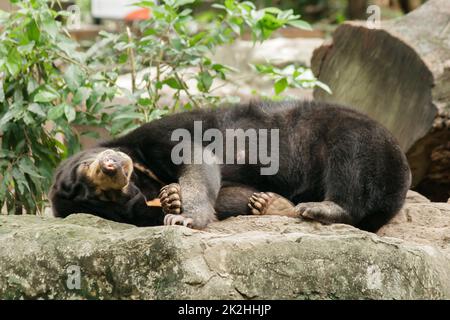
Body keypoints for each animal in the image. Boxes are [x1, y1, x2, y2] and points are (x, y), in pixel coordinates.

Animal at [49, 100, 412, 232]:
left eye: (86, 168)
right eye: (104, 195)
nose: (112, 166)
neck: (144, 169)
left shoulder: (157, 134)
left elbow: (196, 156)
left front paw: (181, 215)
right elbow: (230, 195)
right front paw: (172, 199)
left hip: (360, 136)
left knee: (350, 159)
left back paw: (323, 207)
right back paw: (274, 205)